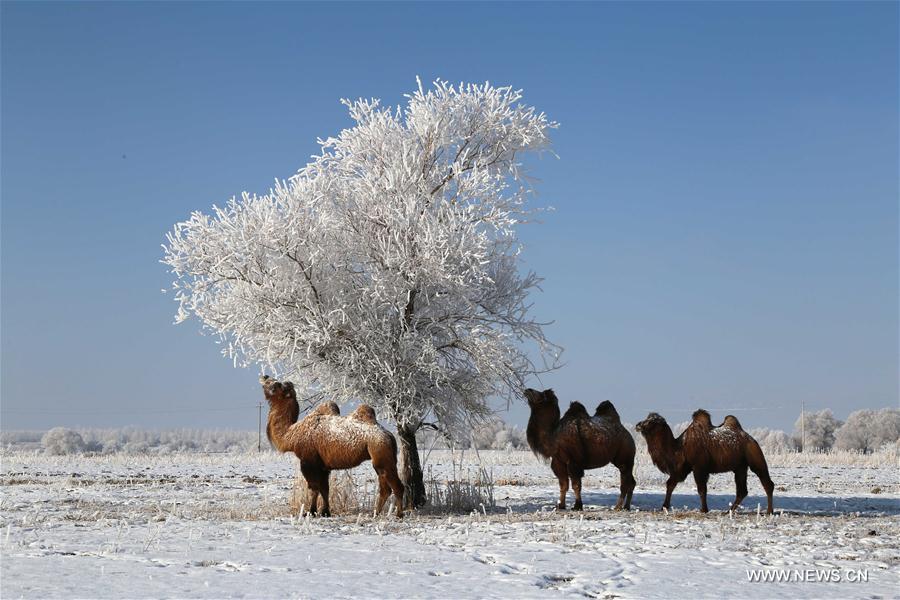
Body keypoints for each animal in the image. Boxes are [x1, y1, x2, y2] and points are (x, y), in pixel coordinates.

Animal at [258, 376, 402, 516]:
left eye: (276, 385)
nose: (265, 377)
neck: (291, 434)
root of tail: (389, 435)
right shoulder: (323, 466)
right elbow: (325, 489)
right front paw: (325, 512)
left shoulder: (308, 461)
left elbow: (314, 488)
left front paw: (310, 512)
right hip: (384, 457)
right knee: (385, 488)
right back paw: (376, 513)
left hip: (380, 452)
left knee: (396, 486)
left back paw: (398, 514)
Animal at [632, 410, 772, 512]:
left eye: (652, 421)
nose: (638, 425)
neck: (680, 448)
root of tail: (752, 440)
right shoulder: (681, 469)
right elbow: (670, 484)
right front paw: (664, 506)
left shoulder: (698, 467)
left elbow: (701, 489)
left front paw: (704, 509)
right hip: (740, 467)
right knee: (742, 491)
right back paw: (729, 511)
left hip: (756, 458)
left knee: (767, 483)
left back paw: (769, 511)